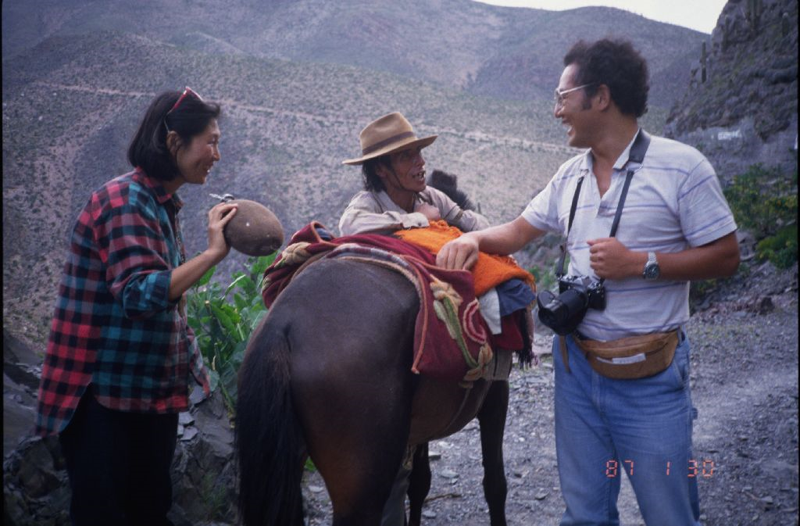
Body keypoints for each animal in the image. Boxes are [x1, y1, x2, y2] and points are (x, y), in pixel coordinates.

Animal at [238, 255, 512, 524]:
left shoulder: (420, 423)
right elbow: (495, 483)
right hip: (361, 490)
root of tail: (284, 324)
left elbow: (419, 482)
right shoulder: (496, 393)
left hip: (286, 468)